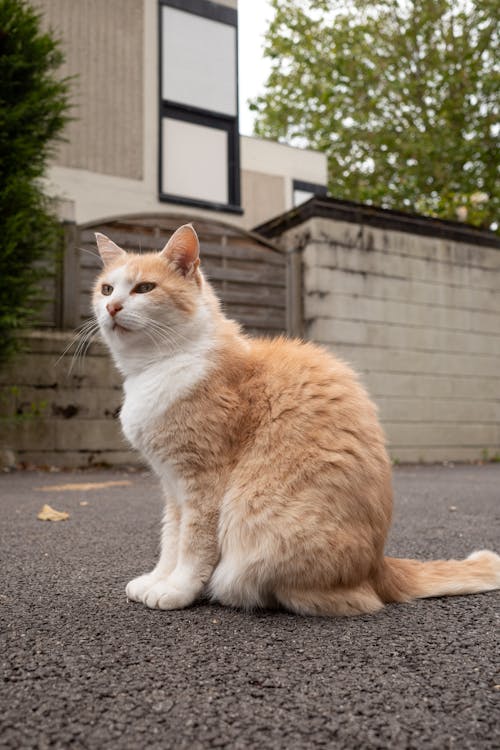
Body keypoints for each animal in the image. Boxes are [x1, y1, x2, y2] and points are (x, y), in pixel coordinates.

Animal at [92, 225, 498, 616]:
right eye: (107, 288)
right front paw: (157, 580)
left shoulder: (202, 483)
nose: (111, 306)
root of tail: (378, 565)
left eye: (145, 288)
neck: (158, 366)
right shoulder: (172, 486)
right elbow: (170, 538)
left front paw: (177, 590)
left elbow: (192, 545)